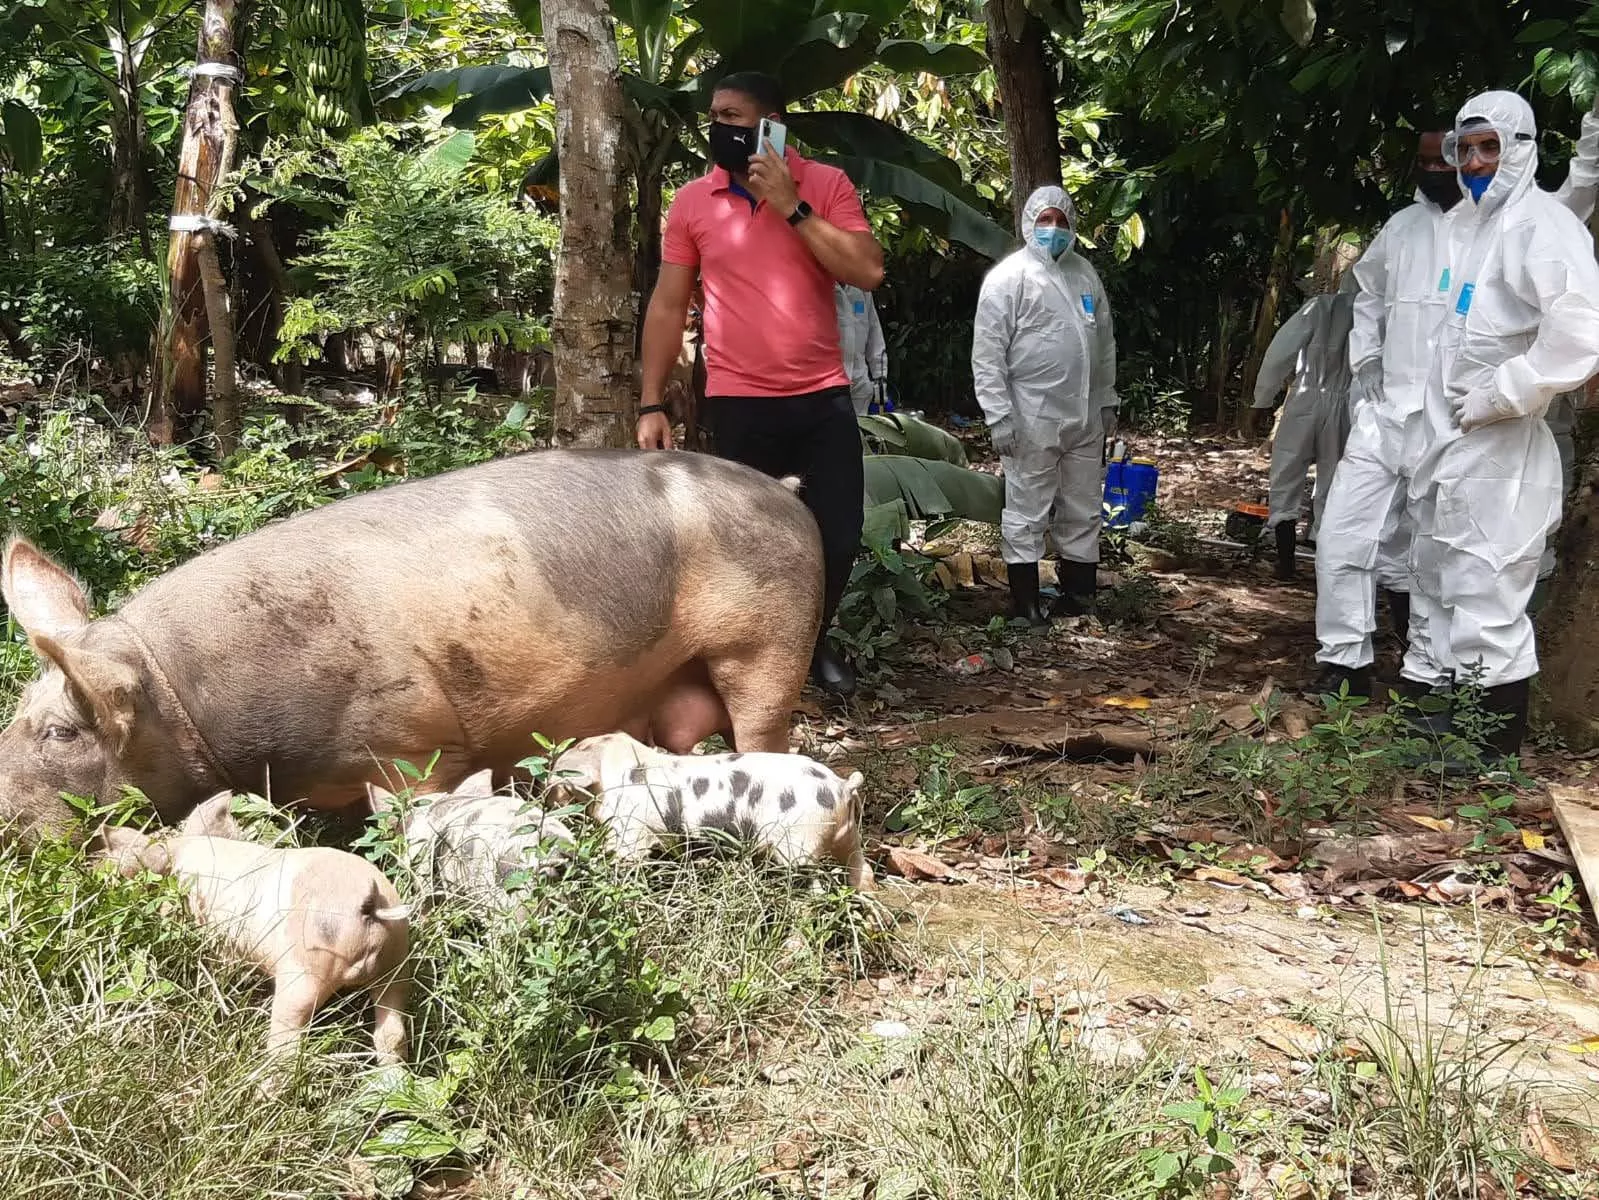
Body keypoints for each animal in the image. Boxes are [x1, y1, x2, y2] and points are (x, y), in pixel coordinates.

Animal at [0, 454, 825, 844]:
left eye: (62, 732)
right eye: (18, 711)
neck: (179, 695)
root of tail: (783, 491)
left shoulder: (409, 740)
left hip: (771, 633)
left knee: (763, 728)